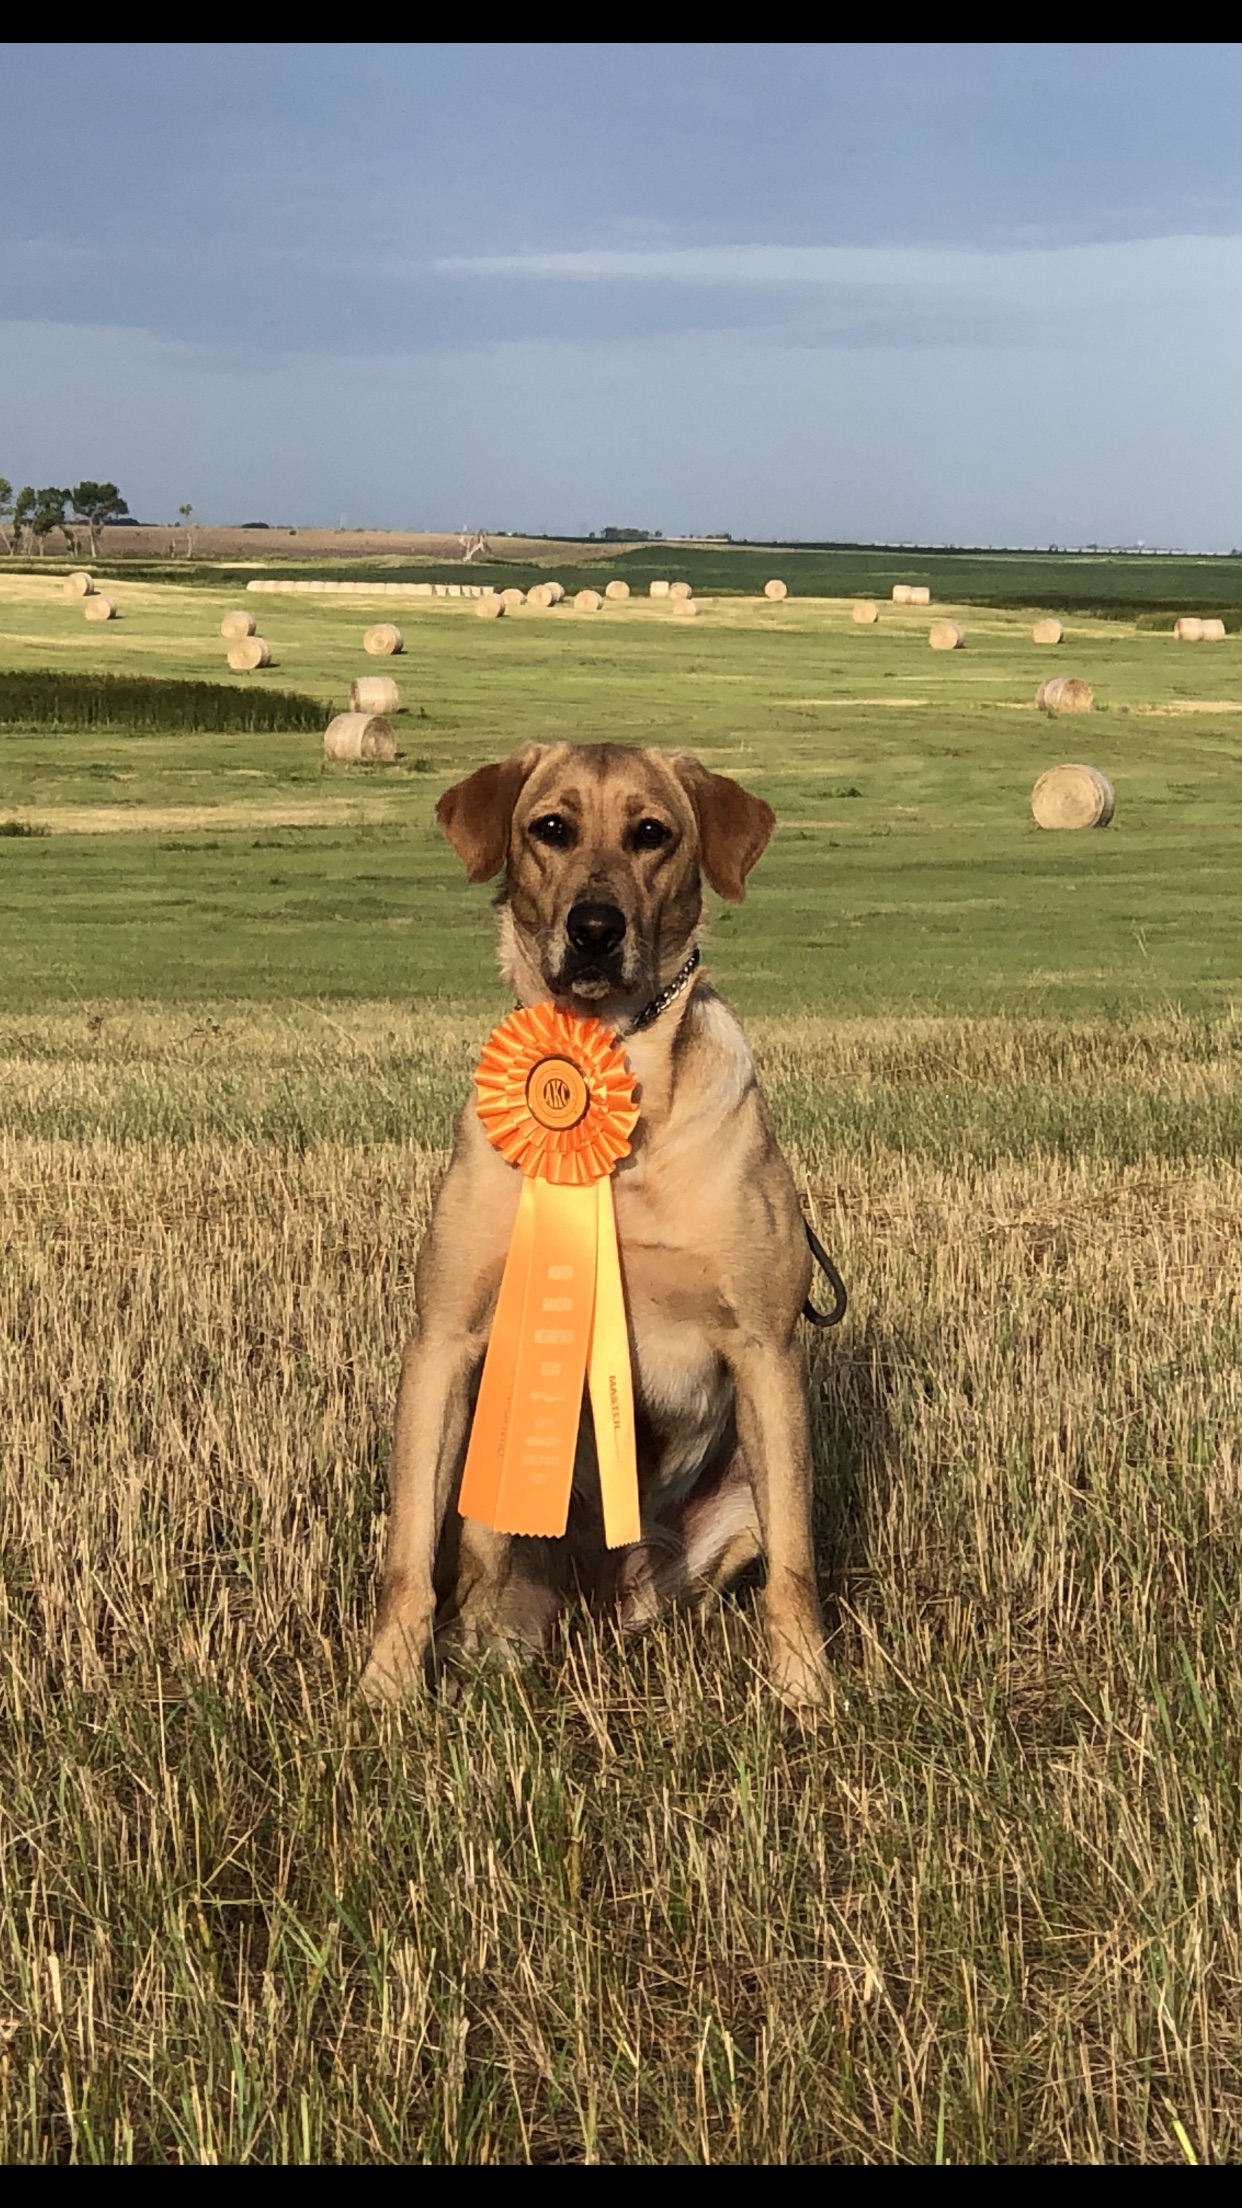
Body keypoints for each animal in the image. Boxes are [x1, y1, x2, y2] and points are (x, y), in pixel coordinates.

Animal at [362, 741, 826, 1704]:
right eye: (552, 828)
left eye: (652, 833)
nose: (596, 928)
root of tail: (606, 1592)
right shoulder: (444, 1341)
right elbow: (406, 1562)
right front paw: (383, 1693)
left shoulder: (765, 1350)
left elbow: (798, 1568)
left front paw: (808, 1695)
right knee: (479, 1586)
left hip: (737, 1503)